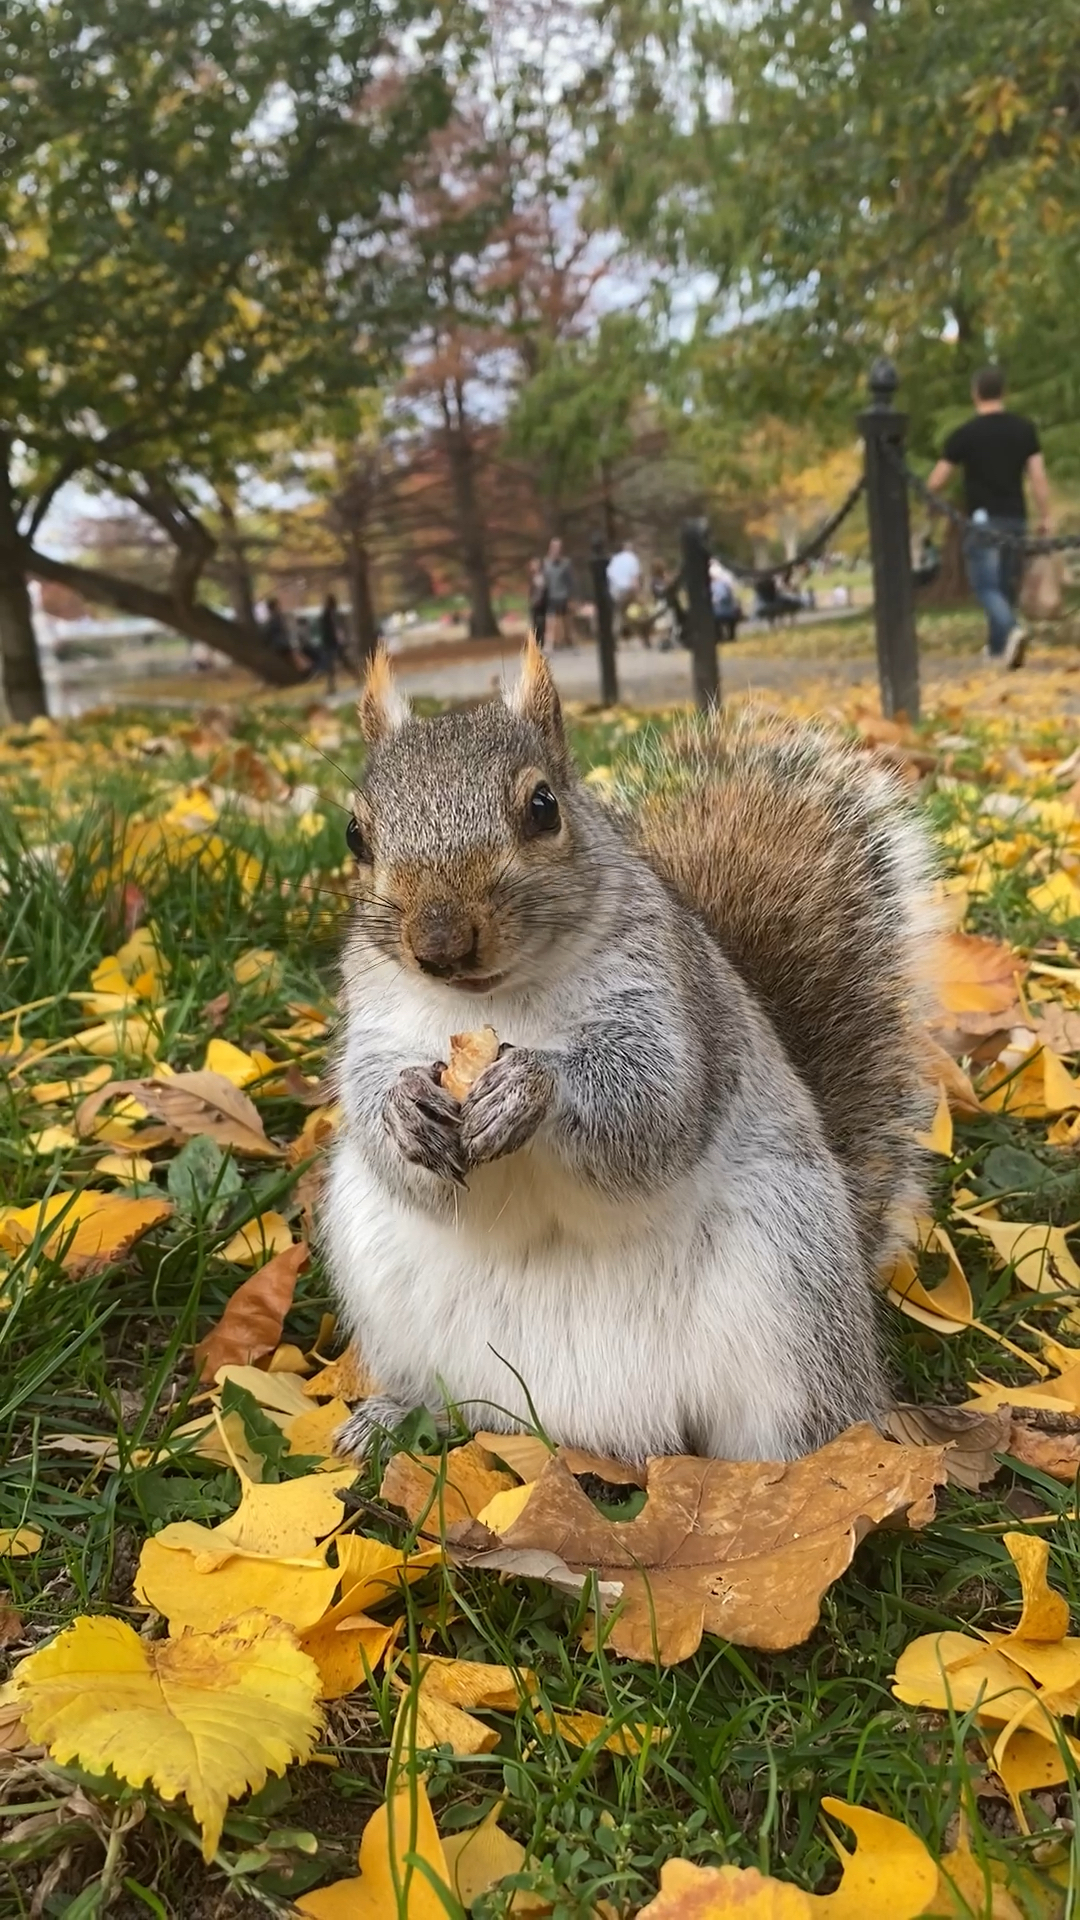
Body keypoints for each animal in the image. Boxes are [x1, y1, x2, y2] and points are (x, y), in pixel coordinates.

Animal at [320, 637, 933, 1459]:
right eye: (355, 835)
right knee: (454, 1404)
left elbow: (651, 1104)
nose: (439, 944)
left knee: (797, 1422)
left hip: (789, 1288)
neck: (493, 1003)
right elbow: (369, 1102)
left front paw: (531, 1087)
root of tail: (591, 1429)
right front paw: (401, 1109)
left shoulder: (668, 1000)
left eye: (543, 808)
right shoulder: (375, 1018)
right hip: (390, 1291)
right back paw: (393, 1417)